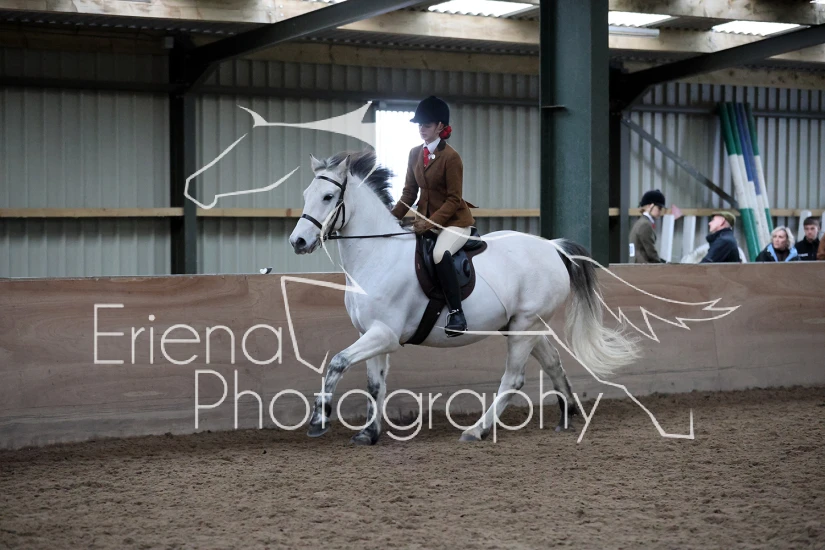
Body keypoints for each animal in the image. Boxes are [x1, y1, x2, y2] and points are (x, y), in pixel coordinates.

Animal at [288, 149, 639, 444]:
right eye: (305, 196)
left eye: (328, 196)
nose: (298, 242)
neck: (376, 254)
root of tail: (553, 247)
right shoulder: (371, 333)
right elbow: (375, 385)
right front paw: (368, 433)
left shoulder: (384, 334)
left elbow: (337, 362)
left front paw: (319, 420)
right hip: (525, 326)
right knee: (553, 362)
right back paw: (567, 417)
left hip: (524, 327)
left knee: (512, 380)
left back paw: (476, 430)